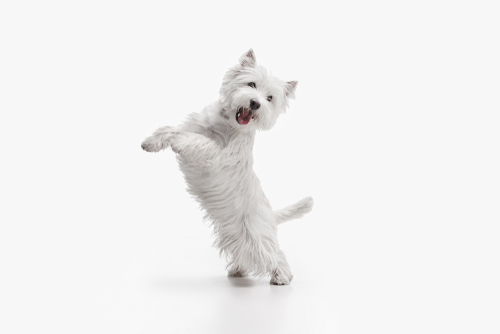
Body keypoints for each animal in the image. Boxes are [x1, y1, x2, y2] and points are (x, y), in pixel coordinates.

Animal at [141, 49, 312, 284]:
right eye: (251, 84)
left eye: (270, 98)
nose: (255, 103)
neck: (227, 124)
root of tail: (270, 214)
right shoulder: (195, 126)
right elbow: (171, 129)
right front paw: (151, 142)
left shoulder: (216, 155)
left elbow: (196, 140)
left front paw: (178, 142)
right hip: (235, 234)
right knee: (244, 254)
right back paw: (238, 270)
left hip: (256, 235)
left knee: (273, 254)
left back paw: (282, 277)